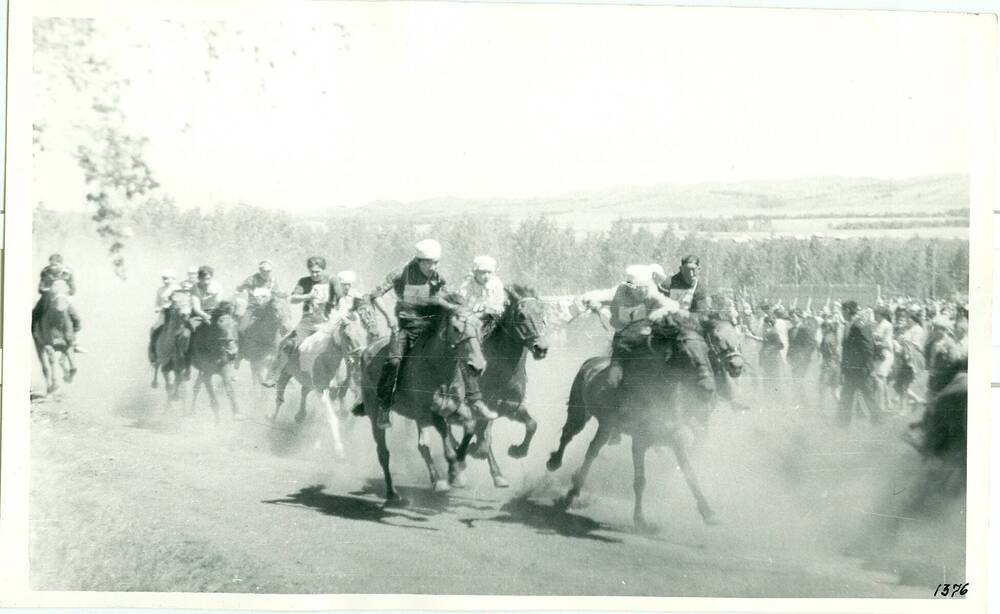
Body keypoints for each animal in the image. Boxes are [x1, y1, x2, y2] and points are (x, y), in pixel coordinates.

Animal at [272, 316, 370, 460]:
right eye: (347, 336)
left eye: (362, 334)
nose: (359, 358)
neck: (325, 359)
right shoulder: (321, 391)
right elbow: (330, 417)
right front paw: (339, 451)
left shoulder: (333, 389)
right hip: (285, 373)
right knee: (280, 397)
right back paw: (273, 419)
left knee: (304, 392)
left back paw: (300, 416)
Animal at [356, 306, 488, 508]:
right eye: (456, 328)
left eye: (480, 325)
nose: (478, 366)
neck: (437, 367)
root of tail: (367, 350)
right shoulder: (427, 411)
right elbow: (441, 435)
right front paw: (452, 471)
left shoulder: (453, 408)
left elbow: (469, 425)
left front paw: (459, 464)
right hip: (374, 413)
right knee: (384, 452)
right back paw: (393, 493)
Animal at [464, 286, 552, 490]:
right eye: (521, 314)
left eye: (542, 314)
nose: (541, 348)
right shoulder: (481, 406)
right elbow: (483, 438)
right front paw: (475, 449)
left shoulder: (509, 406)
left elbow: (532, 424)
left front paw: (517, 451)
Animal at [548, 312, 744, 536]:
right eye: (684, 353)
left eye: (707, 350)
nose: (708, 387)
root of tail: (591, 362)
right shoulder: (639, 441)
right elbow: (640, 481)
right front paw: (641, 520)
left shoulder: (677, 438)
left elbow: (689, 472)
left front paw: (709, 513)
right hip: (580, 412)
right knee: (568, 435)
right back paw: (555, 465)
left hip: (606, 426)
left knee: (592, 450)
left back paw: (573, 490)